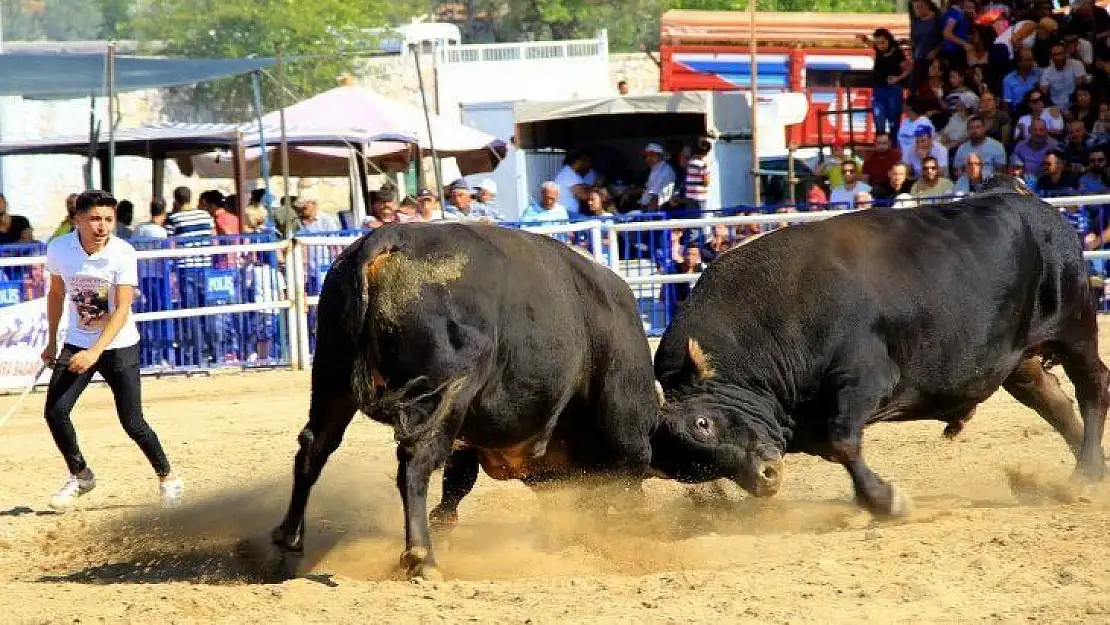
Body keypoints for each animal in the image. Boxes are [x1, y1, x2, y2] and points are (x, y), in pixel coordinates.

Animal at [273, 222, 661, 581]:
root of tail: (388, 240)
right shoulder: (626, 447)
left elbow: (455, 487)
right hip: (443, 392)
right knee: (415, 461)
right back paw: (423, 558)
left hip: (333, 379)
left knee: (314, 448)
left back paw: (288, 539)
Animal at [652, 178, 1105, 515]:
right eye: (698, 468)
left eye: (702, 423)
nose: (766, 478)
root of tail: (1023, 198)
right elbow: (836, 448)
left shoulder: (866, 379)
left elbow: (842, 440)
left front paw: (886, 502)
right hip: (1019, 360)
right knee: (1053, 401)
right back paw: (1090, 471)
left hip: (1075, 325)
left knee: (1093, 387)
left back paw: (1087, 473)